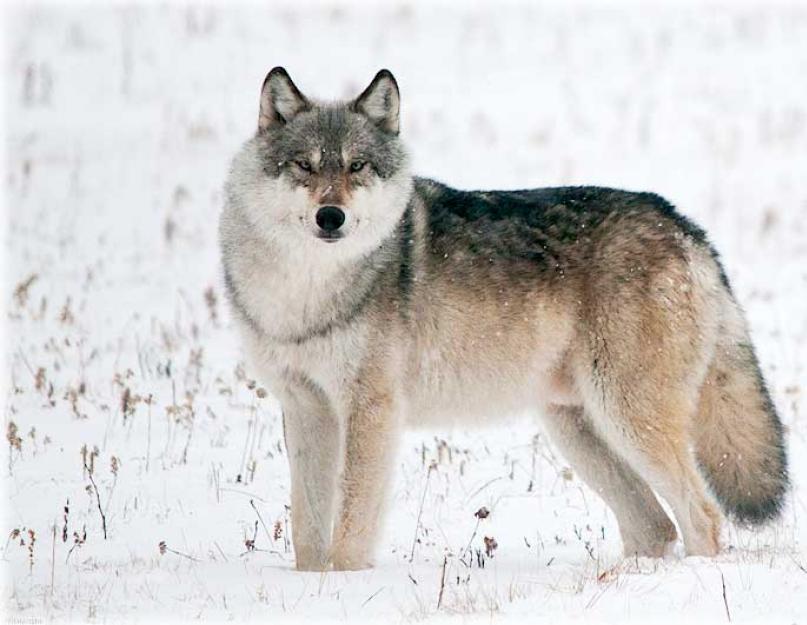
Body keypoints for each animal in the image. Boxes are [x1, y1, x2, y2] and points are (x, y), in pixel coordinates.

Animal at [219, 67, 788, 572]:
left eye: (357, 166)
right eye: (305, 165)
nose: (330, 216)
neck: (306, 290)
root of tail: (684, 224)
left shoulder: (371, 410)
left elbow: (351, 528)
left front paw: (342, 585)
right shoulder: (306, 407)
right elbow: (307, 531)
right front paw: (311, 588)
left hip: (626, 417)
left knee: (702, 517)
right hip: (576, 427)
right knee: (655, 526)